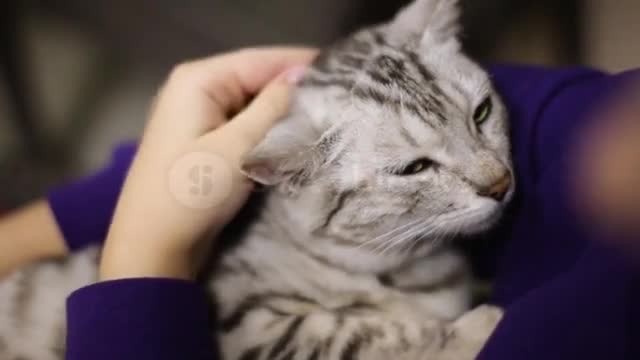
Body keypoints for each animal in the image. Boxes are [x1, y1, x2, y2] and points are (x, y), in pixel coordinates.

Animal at [0, 0, 516, 358]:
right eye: (414, 168)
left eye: (482, 113)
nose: (500, 184)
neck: (411, 267)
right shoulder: (248, 323)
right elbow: (360, 336)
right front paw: (478, 329)